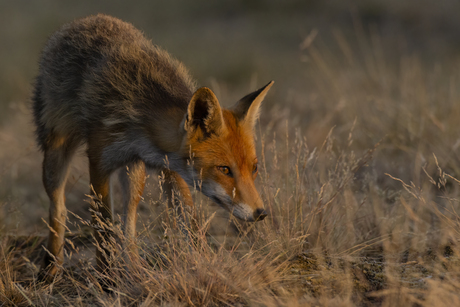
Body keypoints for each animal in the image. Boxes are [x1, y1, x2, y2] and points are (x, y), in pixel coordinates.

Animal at [33, 13, 274, 280]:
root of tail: (86, 18)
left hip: (134, 174)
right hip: (56, 155)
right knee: (59, 210)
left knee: (129, 222)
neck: (142, 126)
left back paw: (135, 268)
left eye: (254, 169)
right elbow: (103, 229)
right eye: (224, 169)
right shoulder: (98, 161)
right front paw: (106, 281)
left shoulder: (171, 169)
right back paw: (51, 266)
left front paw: (206, 264)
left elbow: (189, 222)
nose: (261, 213)